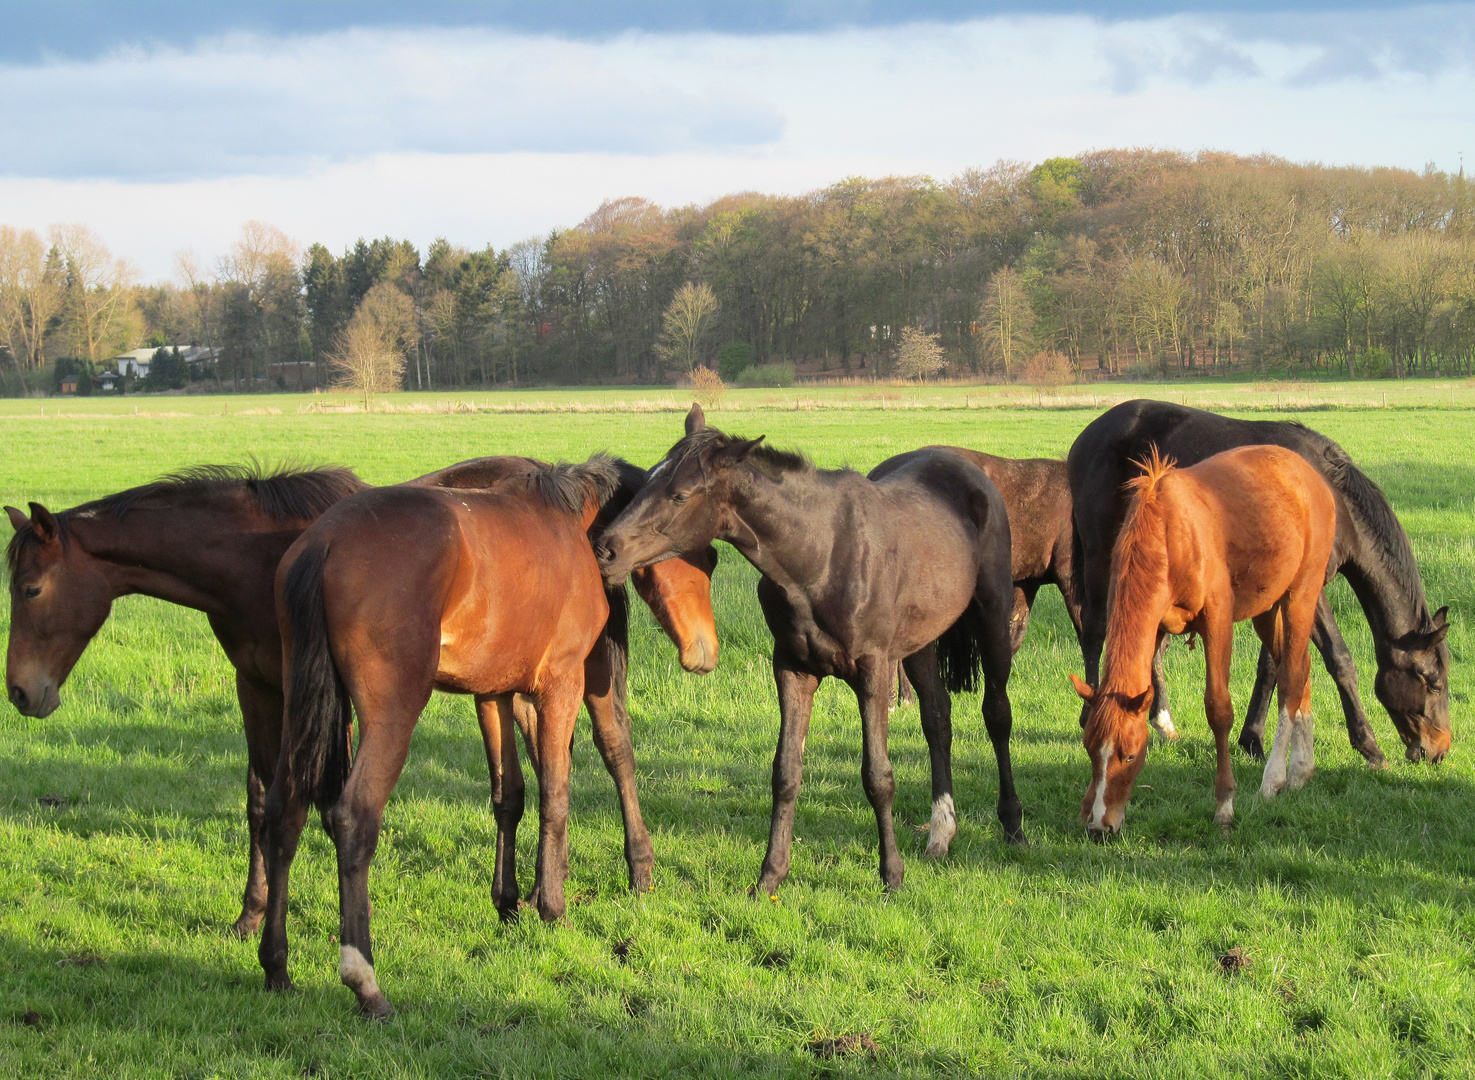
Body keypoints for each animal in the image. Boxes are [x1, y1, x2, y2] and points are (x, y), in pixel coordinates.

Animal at [4, 454, 719, 938]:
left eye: (31, 589)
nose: (21, 692)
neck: (254, 551)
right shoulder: (259, 688)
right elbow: (264, 801)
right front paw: (251, 917)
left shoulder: (325, 700)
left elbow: (327, 799)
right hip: (502, 686)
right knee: (527, 779)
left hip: (578, 674)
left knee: (614, 749)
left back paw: (638, 869)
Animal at [262, 451, 716, 1015]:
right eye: (707, 558)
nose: (705, 651)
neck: (570, 524)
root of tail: (323, 544)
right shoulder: (561, 684)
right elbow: (556, 795)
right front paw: (553, 907)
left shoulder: (494, 695)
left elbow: (510, 797)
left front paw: (509, 903)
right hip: (391, 717)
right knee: (353, 817)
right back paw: (364, 981)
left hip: (300, 710)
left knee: (284, 811)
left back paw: (276, 966)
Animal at [592, 401, 1020, 897]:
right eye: (646, 482)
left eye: (680, 495)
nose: (605, 549)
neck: (820, 555)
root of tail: (967, 468)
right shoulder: (793, 669)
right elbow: (786, 772)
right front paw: (769, 876)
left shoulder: (873, 669)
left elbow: (878, 776)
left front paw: (891, 875)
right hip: (919, 642)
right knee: (937, 718)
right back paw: (940, 833)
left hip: (992, 616)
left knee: (997, 713)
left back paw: (1013, 826)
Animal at [1067, 398, 1445, 767]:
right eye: (1434, 684)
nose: (1438, 751)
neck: (1332, 496)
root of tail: (1085, 437)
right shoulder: (1309, 589)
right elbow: (1339, 658)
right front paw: (1369, 747)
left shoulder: (1278, 589)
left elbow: (1272, 666)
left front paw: (1253, 739)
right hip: (1102, 556)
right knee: (1095, 632)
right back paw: (1090, 715)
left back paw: (1162, 722)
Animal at [1067, 448, 1345, 838]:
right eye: (1091, 749)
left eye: (1130, 754)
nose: (1100, 827)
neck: (1169, 533)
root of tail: (1308, 472)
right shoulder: (1155, 625)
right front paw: (1086, 807)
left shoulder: (1217, 619)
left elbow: (1219, 709)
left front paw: (1225, 806)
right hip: (1267, 606)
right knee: (1301, 665)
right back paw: (1301, 770)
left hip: (1301, 592)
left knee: (1291, 675)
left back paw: (1274, 777)